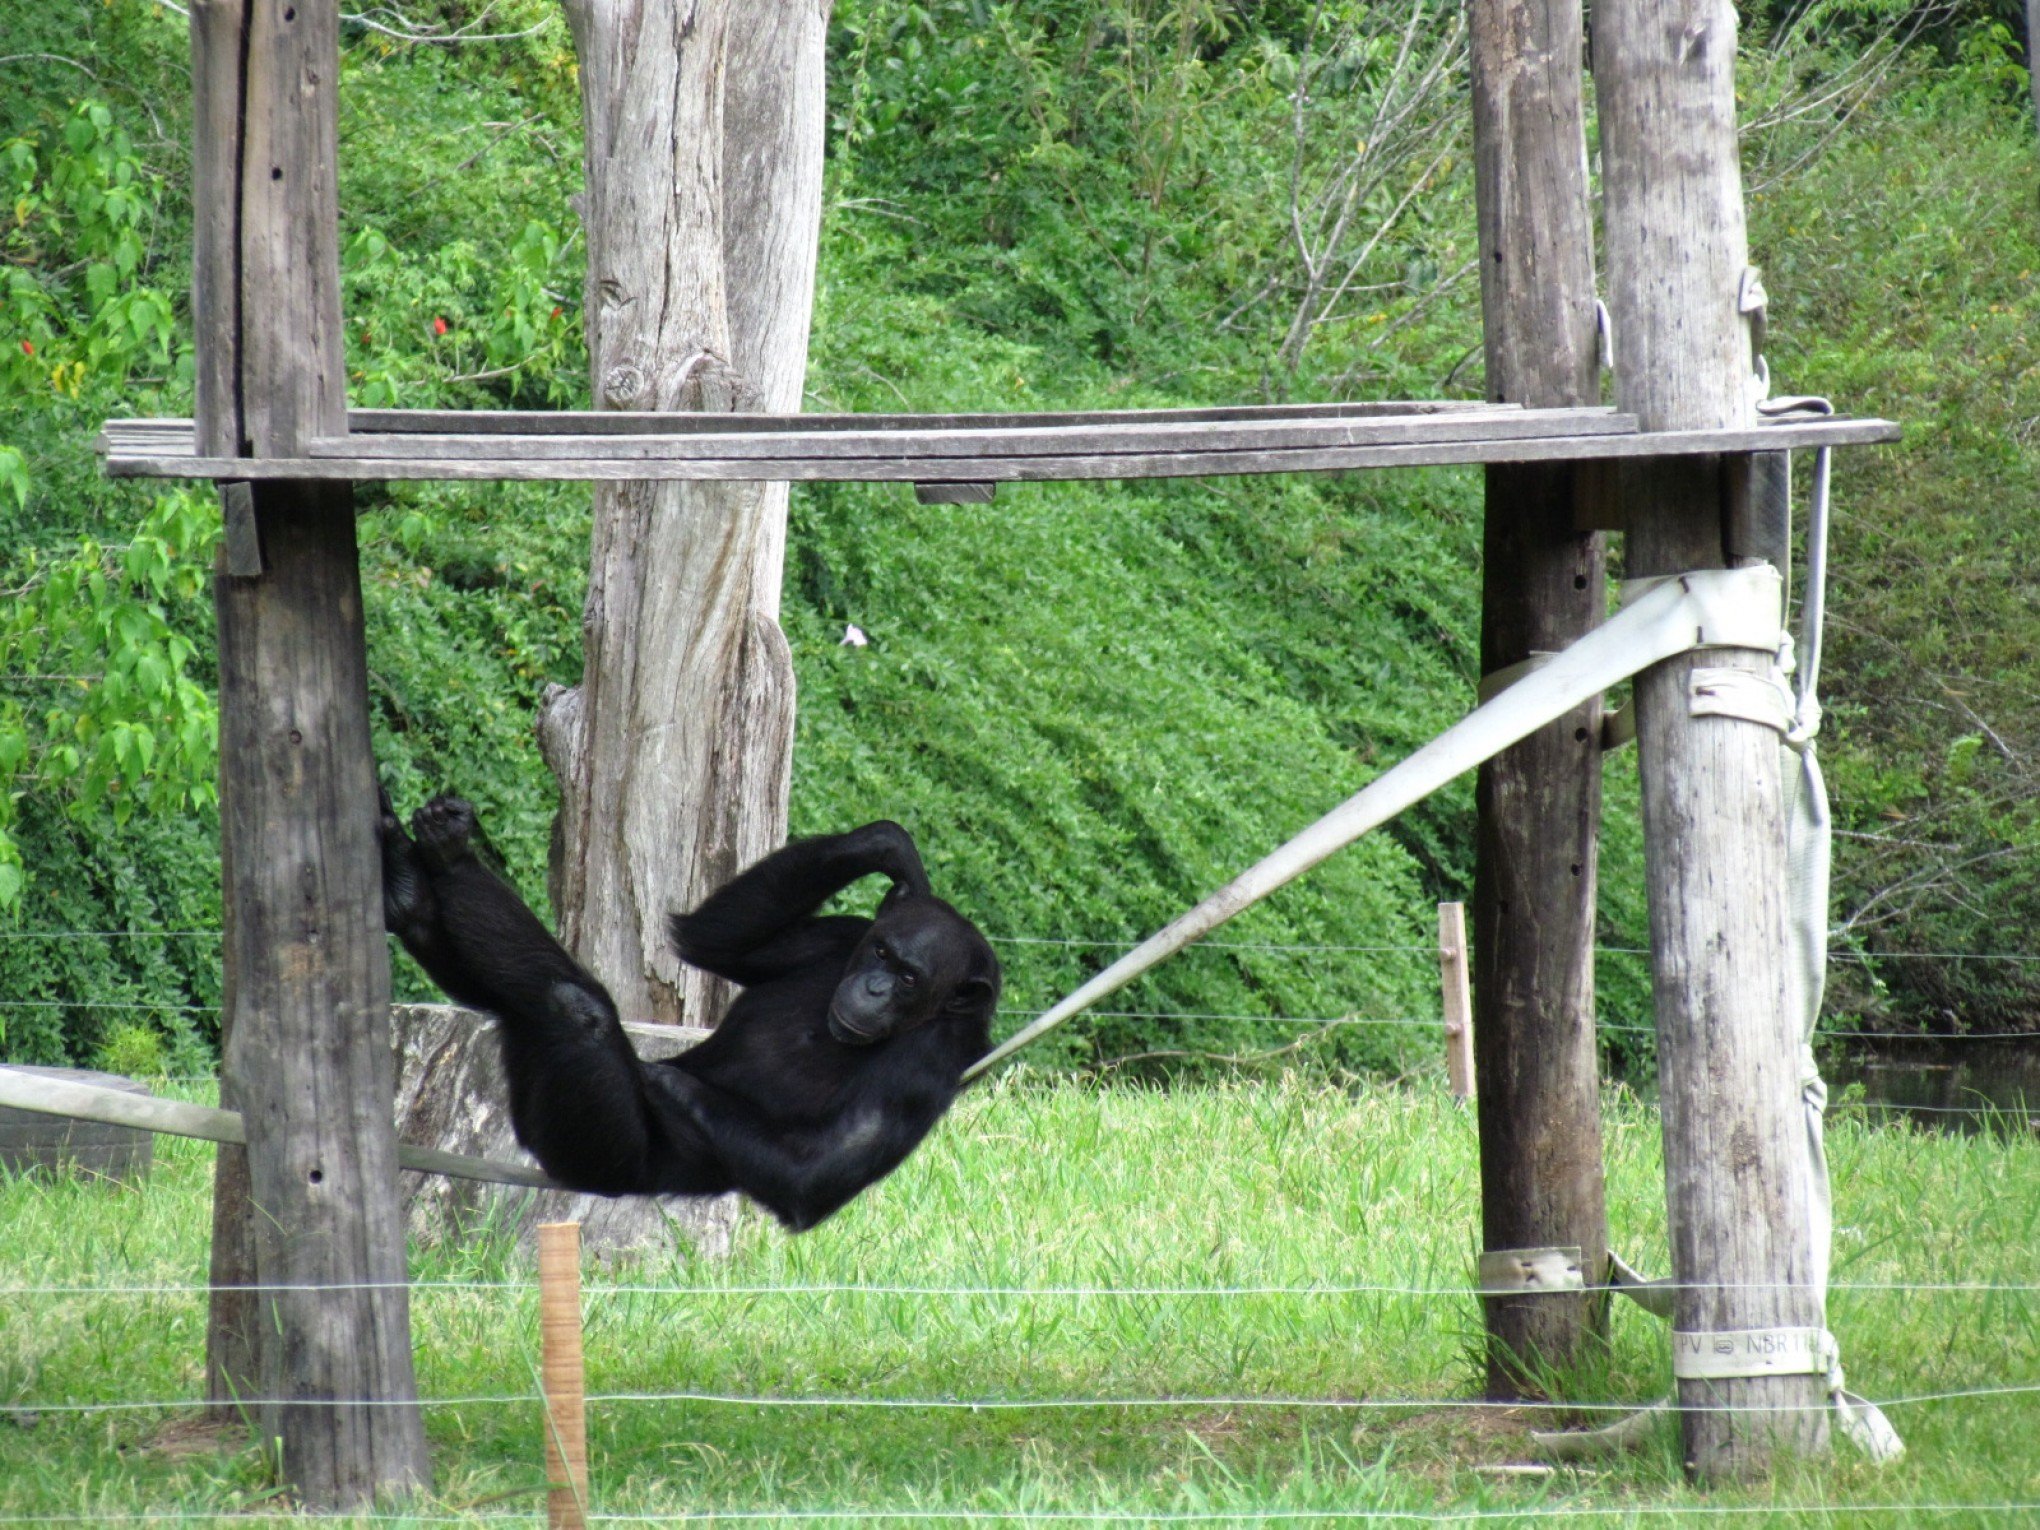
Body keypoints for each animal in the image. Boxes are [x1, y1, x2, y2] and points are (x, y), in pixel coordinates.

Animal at [379, 791, 999, 1232]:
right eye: (882, 954)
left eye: (909, 978)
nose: (873, 987)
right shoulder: (838, 938)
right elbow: (710, 942)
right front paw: (888, 848)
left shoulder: (926, 1067)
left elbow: (810, 1176)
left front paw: (661, 1078)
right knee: (515, 998)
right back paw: (416, 880)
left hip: (595, 1154)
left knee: (572, 1005)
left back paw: (444, 867)